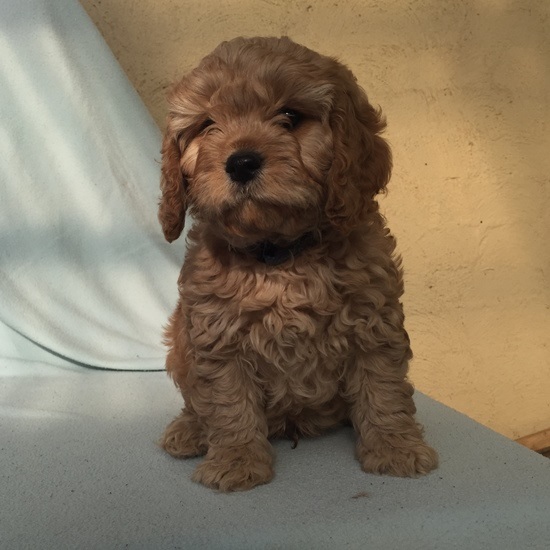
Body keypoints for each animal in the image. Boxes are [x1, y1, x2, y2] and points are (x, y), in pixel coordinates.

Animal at [157, 36, 438, 492]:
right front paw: (236, 461)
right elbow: (228, 403)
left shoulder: (374, 324)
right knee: (197, 402)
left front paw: (396, 449)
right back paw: (191, 430)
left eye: (289, 116)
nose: (241, 162)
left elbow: (383, 389)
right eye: (207, 124)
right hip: (179, 344)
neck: (279, 254)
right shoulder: (218, 339)